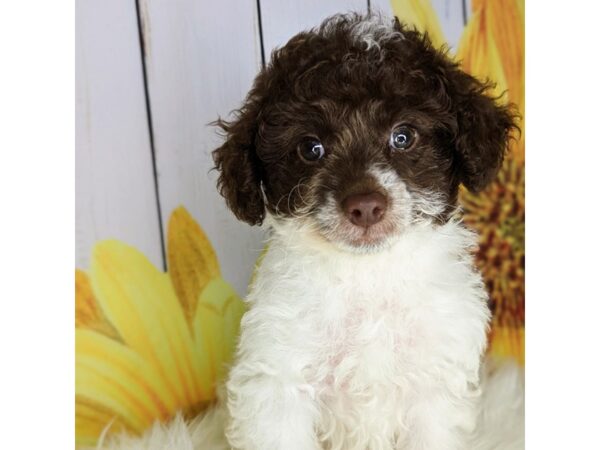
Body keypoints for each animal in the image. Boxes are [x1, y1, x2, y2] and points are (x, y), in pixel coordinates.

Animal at [212, 12, 520, 448]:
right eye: (311, 148)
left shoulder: (433, 387)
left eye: (403, 136)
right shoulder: (279, 381)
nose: (366, 206)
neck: (368, 278)